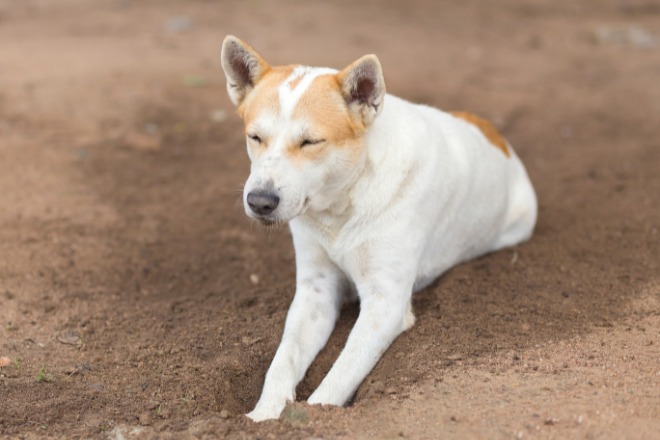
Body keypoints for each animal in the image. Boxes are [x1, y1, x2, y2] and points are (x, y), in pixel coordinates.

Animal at [219, 36, 540, 422]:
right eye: (255, 137)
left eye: (310, 142)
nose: (260, 201)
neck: (343, 205)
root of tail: (496, 135)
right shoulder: (315, 291)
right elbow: (282, 361)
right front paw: (264, 416)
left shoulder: (385, 303)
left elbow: (341, 373)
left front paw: (312, 415)